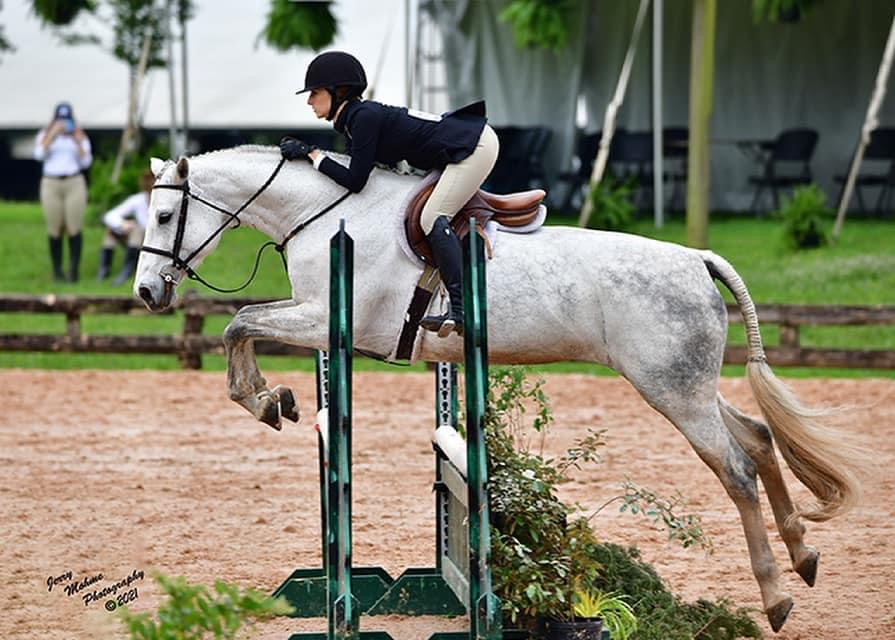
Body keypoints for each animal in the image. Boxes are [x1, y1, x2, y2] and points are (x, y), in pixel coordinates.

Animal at [135, 145, 863, 632]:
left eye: (165, 214)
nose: (145, 294)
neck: (321, 212)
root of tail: (696, 258)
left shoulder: (324, 319)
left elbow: (237, 322)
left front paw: (265, 400)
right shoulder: (315, 318)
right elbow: (242, 324)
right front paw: (276, 401)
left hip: (671, 390)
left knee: (735, 468)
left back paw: (776, 597)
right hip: (687, 385)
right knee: (760, 437)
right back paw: (803, 554)